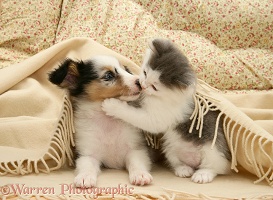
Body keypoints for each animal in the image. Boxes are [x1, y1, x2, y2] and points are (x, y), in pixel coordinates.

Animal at [48, 55, 152, 188]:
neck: (107, 120)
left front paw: (140, 175)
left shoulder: (136, 149)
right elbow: (87, 166)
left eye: (126, 70)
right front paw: (85, 177)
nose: (140, 82)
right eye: (108, 75)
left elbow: (136, 163)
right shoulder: (87, 154)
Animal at [101, 38, 231, 184]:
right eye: (145, 73)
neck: (162, 97)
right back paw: (183, 169)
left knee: (214, 167)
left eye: (154, 87)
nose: (142, 85)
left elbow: (135, 115)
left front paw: (112, 105)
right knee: (179, 162)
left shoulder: (160, 117)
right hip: (170, 149)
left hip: (213, 151)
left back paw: (203, 174)